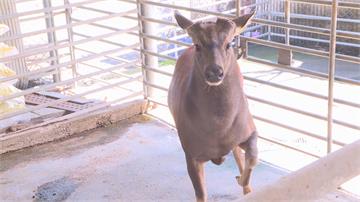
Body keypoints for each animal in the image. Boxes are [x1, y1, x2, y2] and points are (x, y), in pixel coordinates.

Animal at [169, 11, 258, 202]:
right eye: (197, 45)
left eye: (229, 43)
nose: (214, 72)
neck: (219, 129)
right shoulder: (190, 151)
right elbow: (201, 193)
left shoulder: (249, 128)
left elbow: (253, 157)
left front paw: (242, 181)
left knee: (238, 155)